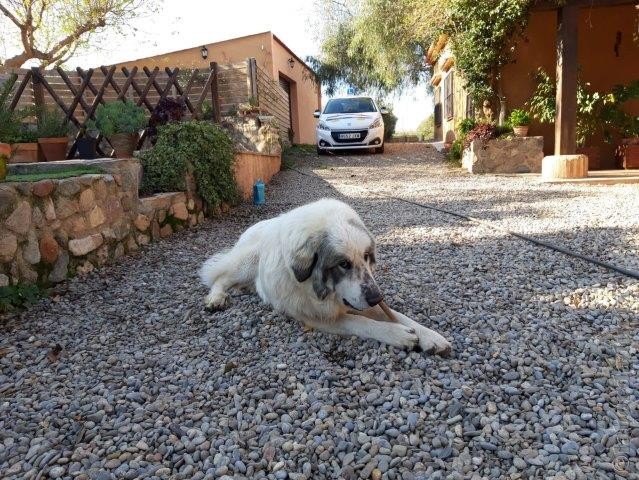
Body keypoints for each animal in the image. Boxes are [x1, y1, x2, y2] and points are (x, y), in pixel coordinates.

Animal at [199, 198, 450, 352]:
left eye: (367, 256)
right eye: (343, 264)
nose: (377, 298)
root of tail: (256, 225)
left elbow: (398, 315)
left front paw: (431, 336)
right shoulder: (316, 315)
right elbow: (360, 321)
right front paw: (398, 334)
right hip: (247, 262)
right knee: (220, 277)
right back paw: (216, 299)